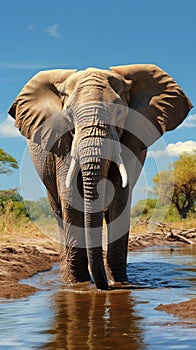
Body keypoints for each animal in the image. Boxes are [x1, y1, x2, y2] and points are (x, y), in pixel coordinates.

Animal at [8, 63, 191, 290]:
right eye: (68, 115)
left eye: (120, 112)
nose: (103, 287)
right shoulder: (63, 143)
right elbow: (71, 200)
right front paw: (79, 285)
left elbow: (120, 200)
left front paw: (120, 283)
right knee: (59, 211)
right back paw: (67, 279)